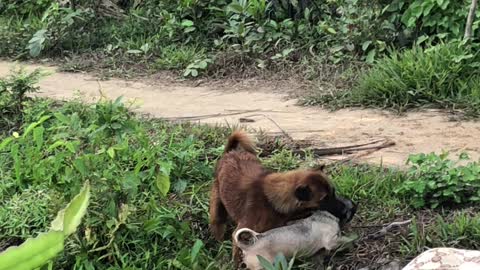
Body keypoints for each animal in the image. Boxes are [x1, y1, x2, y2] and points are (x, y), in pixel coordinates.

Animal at [208, 130, 354, 266]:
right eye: (324, 198)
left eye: (334, 192)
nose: (348, 207)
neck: (270, 200)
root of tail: (230, 152)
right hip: (217, 208)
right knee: (218, 225)